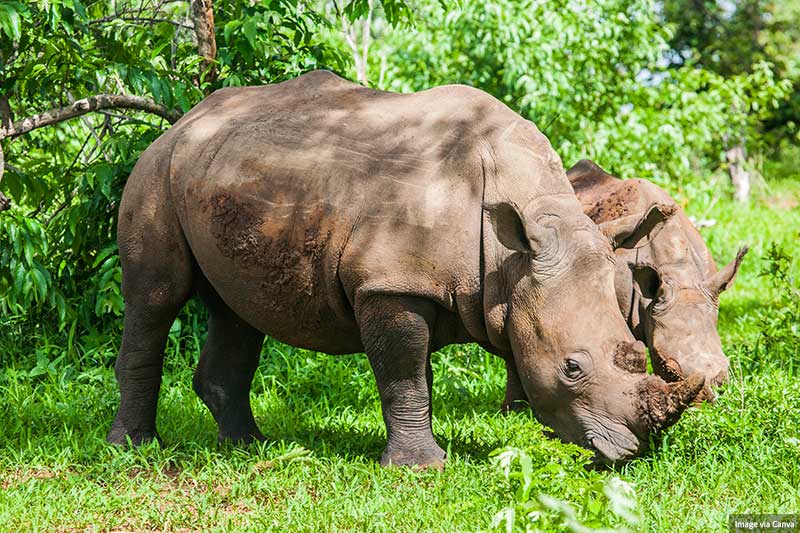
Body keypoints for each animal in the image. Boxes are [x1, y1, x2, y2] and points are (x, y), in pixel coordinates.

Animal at [108, 71, 704, 467]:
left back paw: (247, 447)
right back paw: (135, 449)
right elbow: (403, 374)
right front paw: (420, 467)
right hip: (155, 170)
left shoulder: (424, 284)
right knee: (155, 297)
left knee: (237, 312)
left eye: (634, 353)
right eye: (571, 368)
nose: (634, 452)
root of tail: (184, 119)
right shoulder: (389, 284)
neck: (511, 256)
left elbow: (416, 376)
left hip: (224, 175)